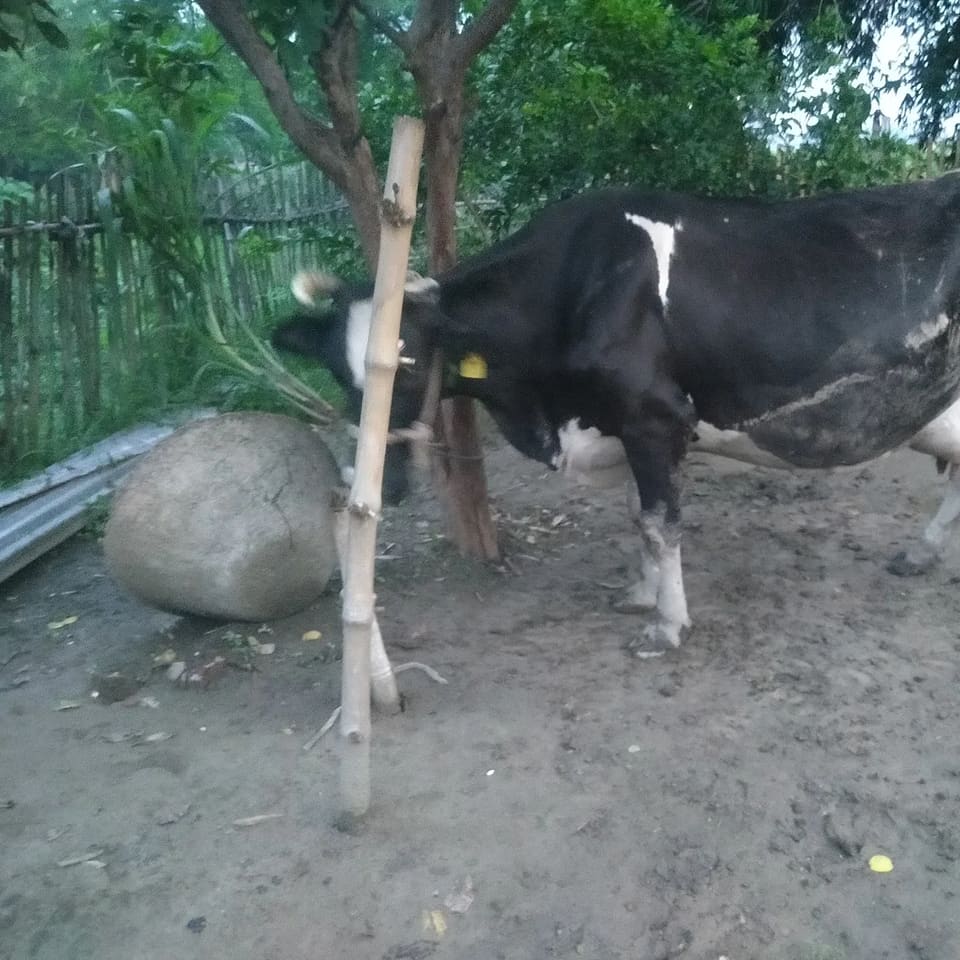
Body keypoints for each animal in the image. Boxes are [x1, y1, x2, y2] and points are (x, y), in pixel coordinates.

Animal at [272, 173, 960, 654]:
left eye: (408, 364)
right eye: (339, 373)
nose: (381, 485)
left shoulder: (655, 417)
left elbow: (659, 523)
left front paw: (667, 626)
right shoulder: (619, 425)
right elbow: (637, 515)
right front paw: (641, 595)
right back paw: (921, 554)